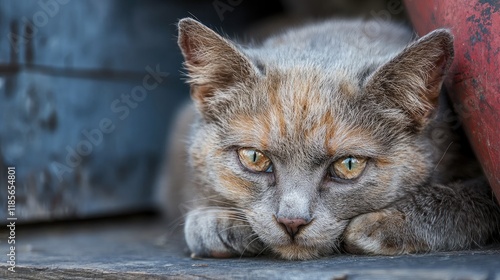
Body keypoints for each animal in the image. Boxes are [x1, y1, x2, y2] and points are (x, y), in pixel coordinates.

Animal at [159, 17, 500, 260]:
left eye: (349, 164)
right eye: (254, 158)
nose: (292, 221)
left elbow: (471, 196)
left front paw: (385, 222)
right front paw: (216, 222)